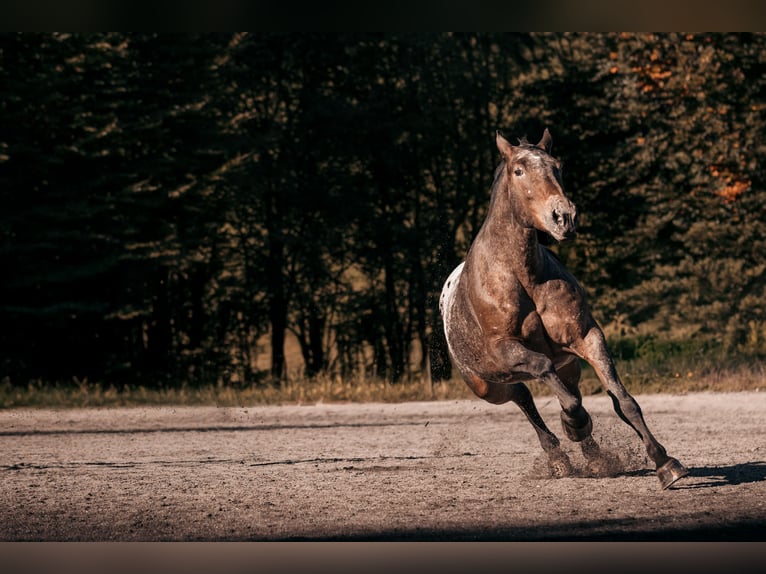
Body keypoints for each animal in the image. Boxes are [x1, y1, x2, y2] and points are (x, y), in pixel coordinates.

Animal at [439, 129, 688, 489]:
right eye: (518, 170)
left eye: (557, 166)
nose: (564, 217)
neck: (522, 275)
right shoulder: (506, 350)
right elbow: (552, 378)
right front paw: (575, 423)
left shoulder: (586, 337)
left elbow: (623, 401)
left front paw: (665, 463)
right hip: (488, 385)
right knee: (523, 397)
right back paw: (558, 457)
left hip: (568, 366)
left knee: (553, 390)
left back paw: (592, 457)